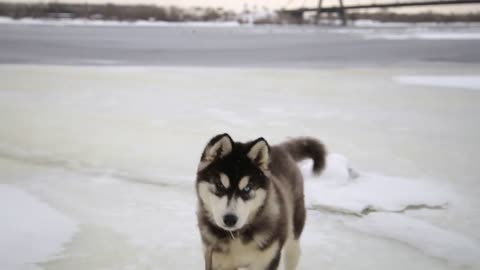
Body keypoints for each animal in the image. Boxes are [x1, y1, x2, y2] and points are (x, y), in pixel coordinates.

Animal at [195, 133, 326, 270]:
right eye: (220, 185)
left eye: (247, 188)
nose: (230, 219)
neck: (237, 235)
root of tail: (280, 148)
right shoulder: (217, 261)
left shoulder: (267, 261)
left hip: (293, 232)